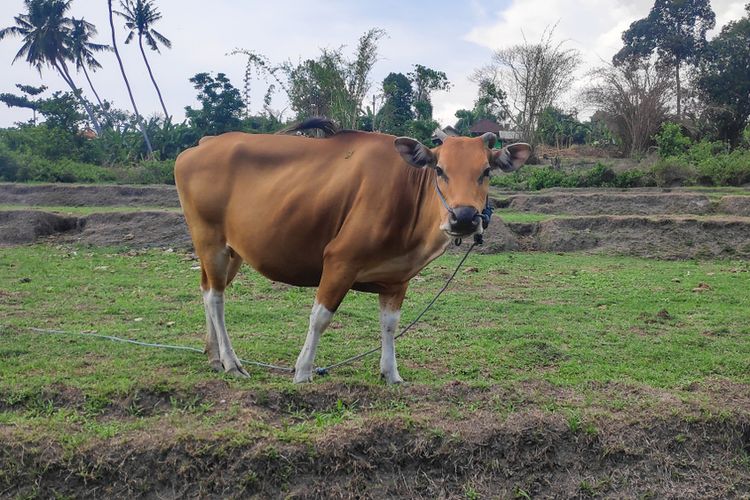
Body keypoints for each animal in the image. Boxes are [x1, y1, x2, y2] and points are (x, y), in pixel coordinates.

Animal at [174, 120, 532, 382]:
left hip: (233, 250)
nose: (465, 217)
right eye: (439, 169)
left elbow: (390, 325)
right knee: (216, 298)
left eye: (486, 171)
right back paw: (232, 362)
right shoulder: (339, 260)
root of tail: (203, 144)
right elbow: (320, 318)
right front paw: (302, 372)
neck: (407, 197)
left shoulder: (397, 279)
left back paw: (214, 357)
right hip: (210, 241)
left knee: (207, 289)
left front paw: (391, 374)